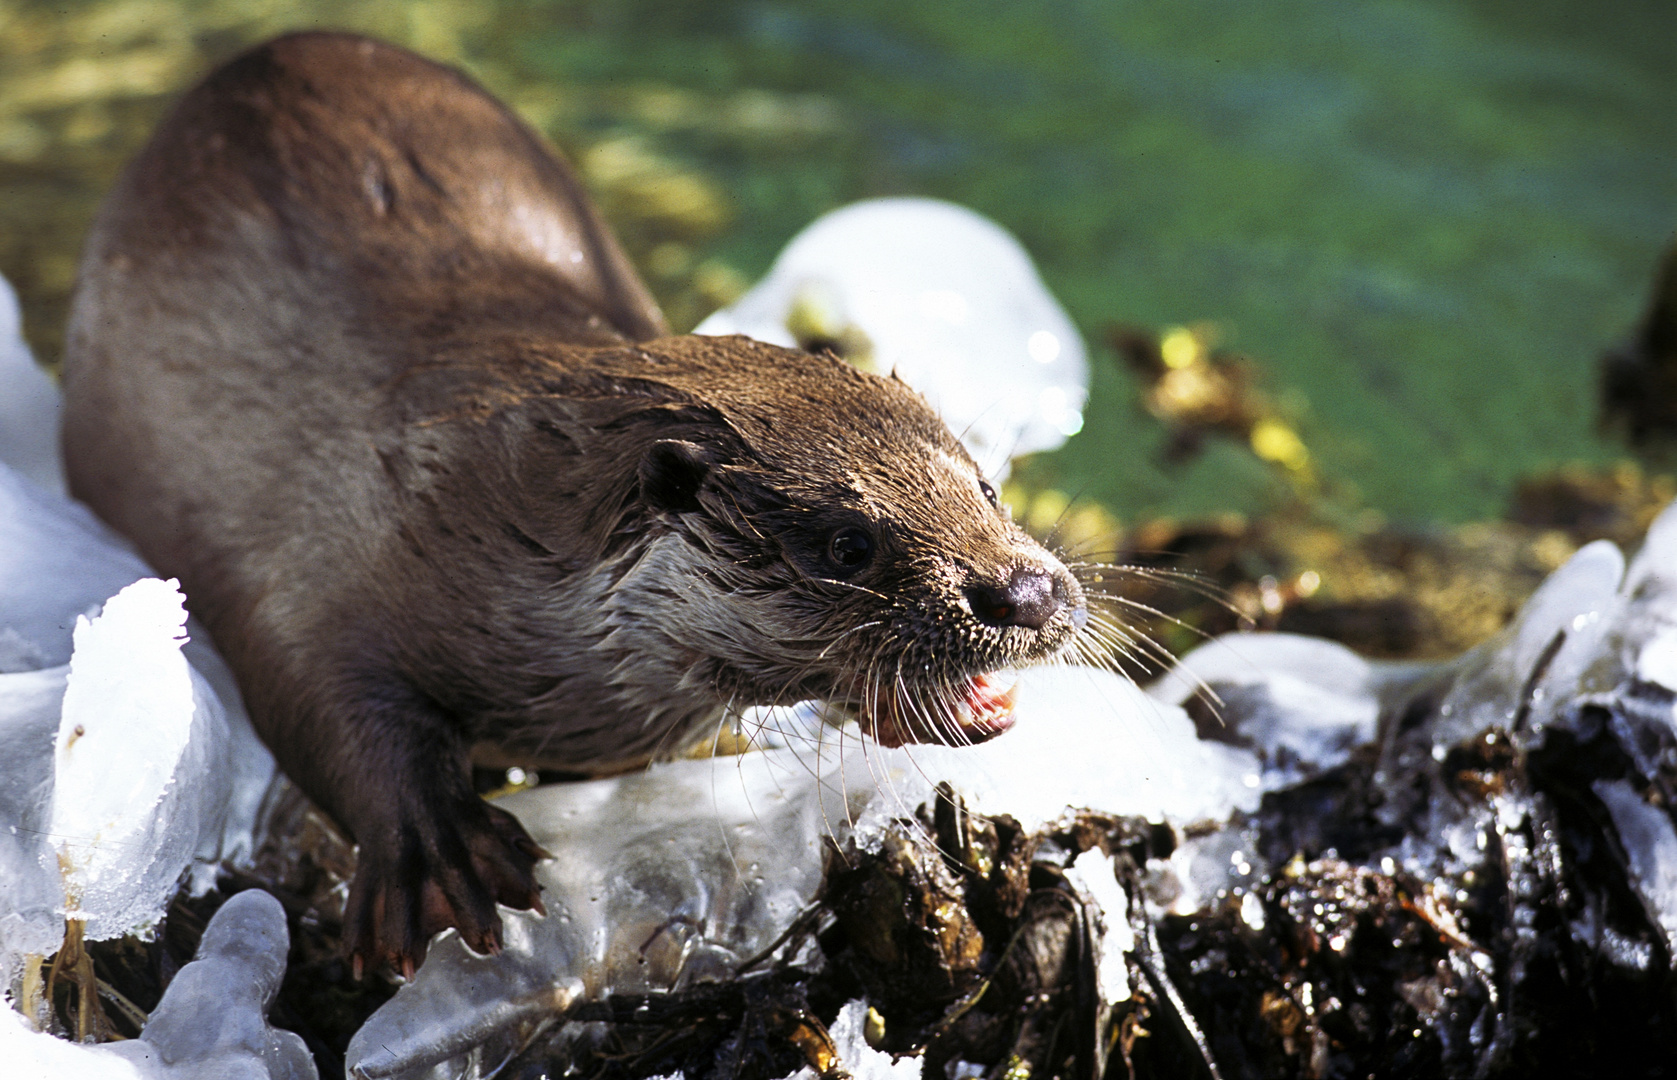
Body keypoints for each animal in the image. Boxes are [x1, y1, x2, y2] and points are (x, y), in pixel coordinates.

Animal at [62, 35, 1086, 979]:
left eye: (985, 485)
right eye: (845, 544)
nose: (1026, 592)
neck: (485, 511)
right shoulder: (315, 556)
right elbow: (318, 696)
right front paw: (443, 848)